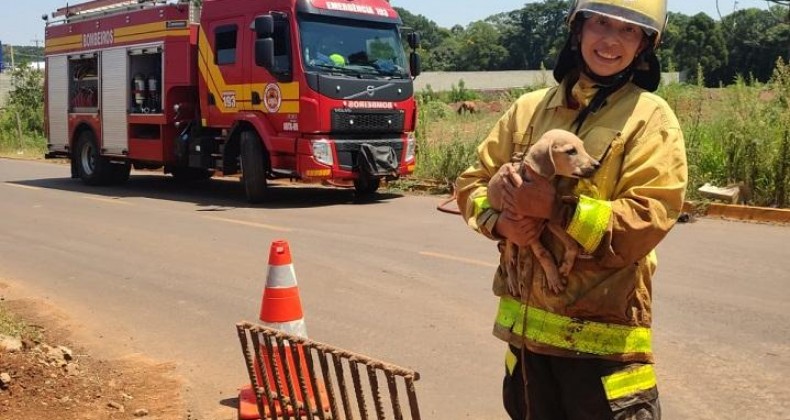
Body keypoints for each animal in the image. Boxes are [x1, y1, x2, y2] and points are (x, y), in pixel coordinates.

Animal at [488, 129, 600, 296]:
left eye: (582, 146)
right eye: (571, 151)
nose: (597, 165)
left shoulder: (551, 218)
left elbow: (572, 243)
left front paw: (566, 265)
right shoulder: (525, 229)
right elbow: (543, 253)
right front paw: (553, 277)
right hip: (510, 232)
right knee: (509, 258)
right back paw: (513, 281)